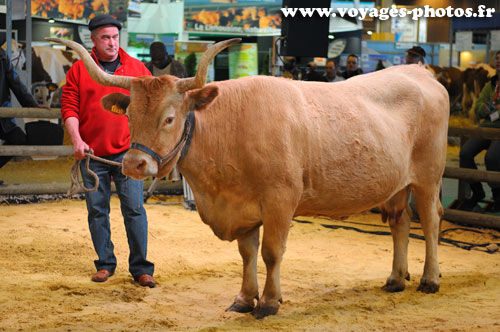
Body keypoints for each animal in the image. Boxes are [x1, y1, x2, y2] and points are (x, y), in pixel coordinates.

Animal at [48, 36, 452, 320]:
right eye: (129, 115)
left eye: (169, 118)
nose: (133, 164)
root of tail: (419, 73)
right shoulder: (242, 206)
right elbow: (247, 253)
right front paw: (244, 298)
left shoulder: (280, 199)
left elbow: (272, 252)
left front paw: (270, 302)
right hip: (397, 184)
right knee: (401, 223)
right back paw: (396, 278)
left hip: (428, 177)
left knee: (431, 221)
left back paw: (430, 279)